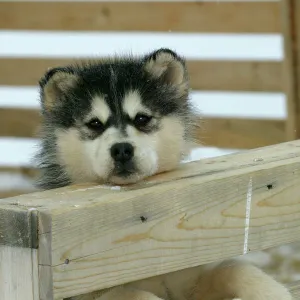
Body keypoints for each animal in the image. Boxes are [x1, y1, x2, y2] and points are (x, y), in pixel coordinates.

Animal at [34, 49, 290, 300]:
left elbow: (235, 268)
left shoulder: (186, 278)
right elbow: (135, 294)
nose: (122, 149)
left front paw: (273, 291)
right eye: (95, 124)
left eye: (142, 118)